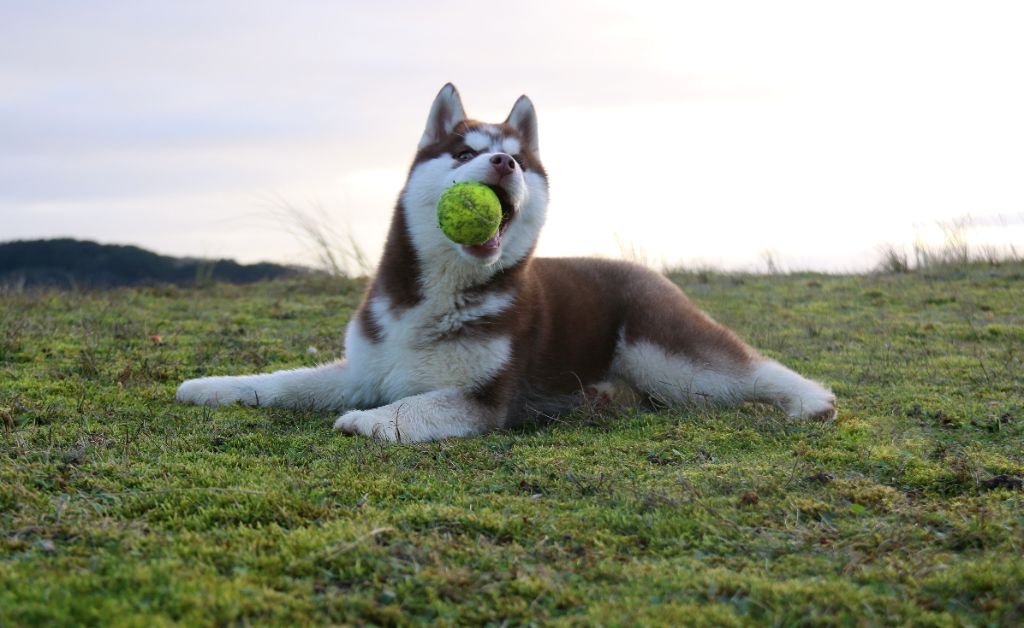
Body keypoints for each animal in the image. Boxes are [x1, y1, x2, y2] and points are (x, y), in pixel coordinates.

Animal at [174, 83, 831, 440]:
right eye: (465, 151)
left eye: (516, 156)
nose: (504, 163)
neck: (437, 294)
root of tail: (639, 268)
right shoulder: (364, 368)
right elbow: (280, 381)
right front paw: (211, 387)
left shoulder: (482, 399)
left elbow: (415, 405)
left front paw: (371, 421)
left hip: (669, 358)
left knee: (746, 369)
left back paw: (811, 401)